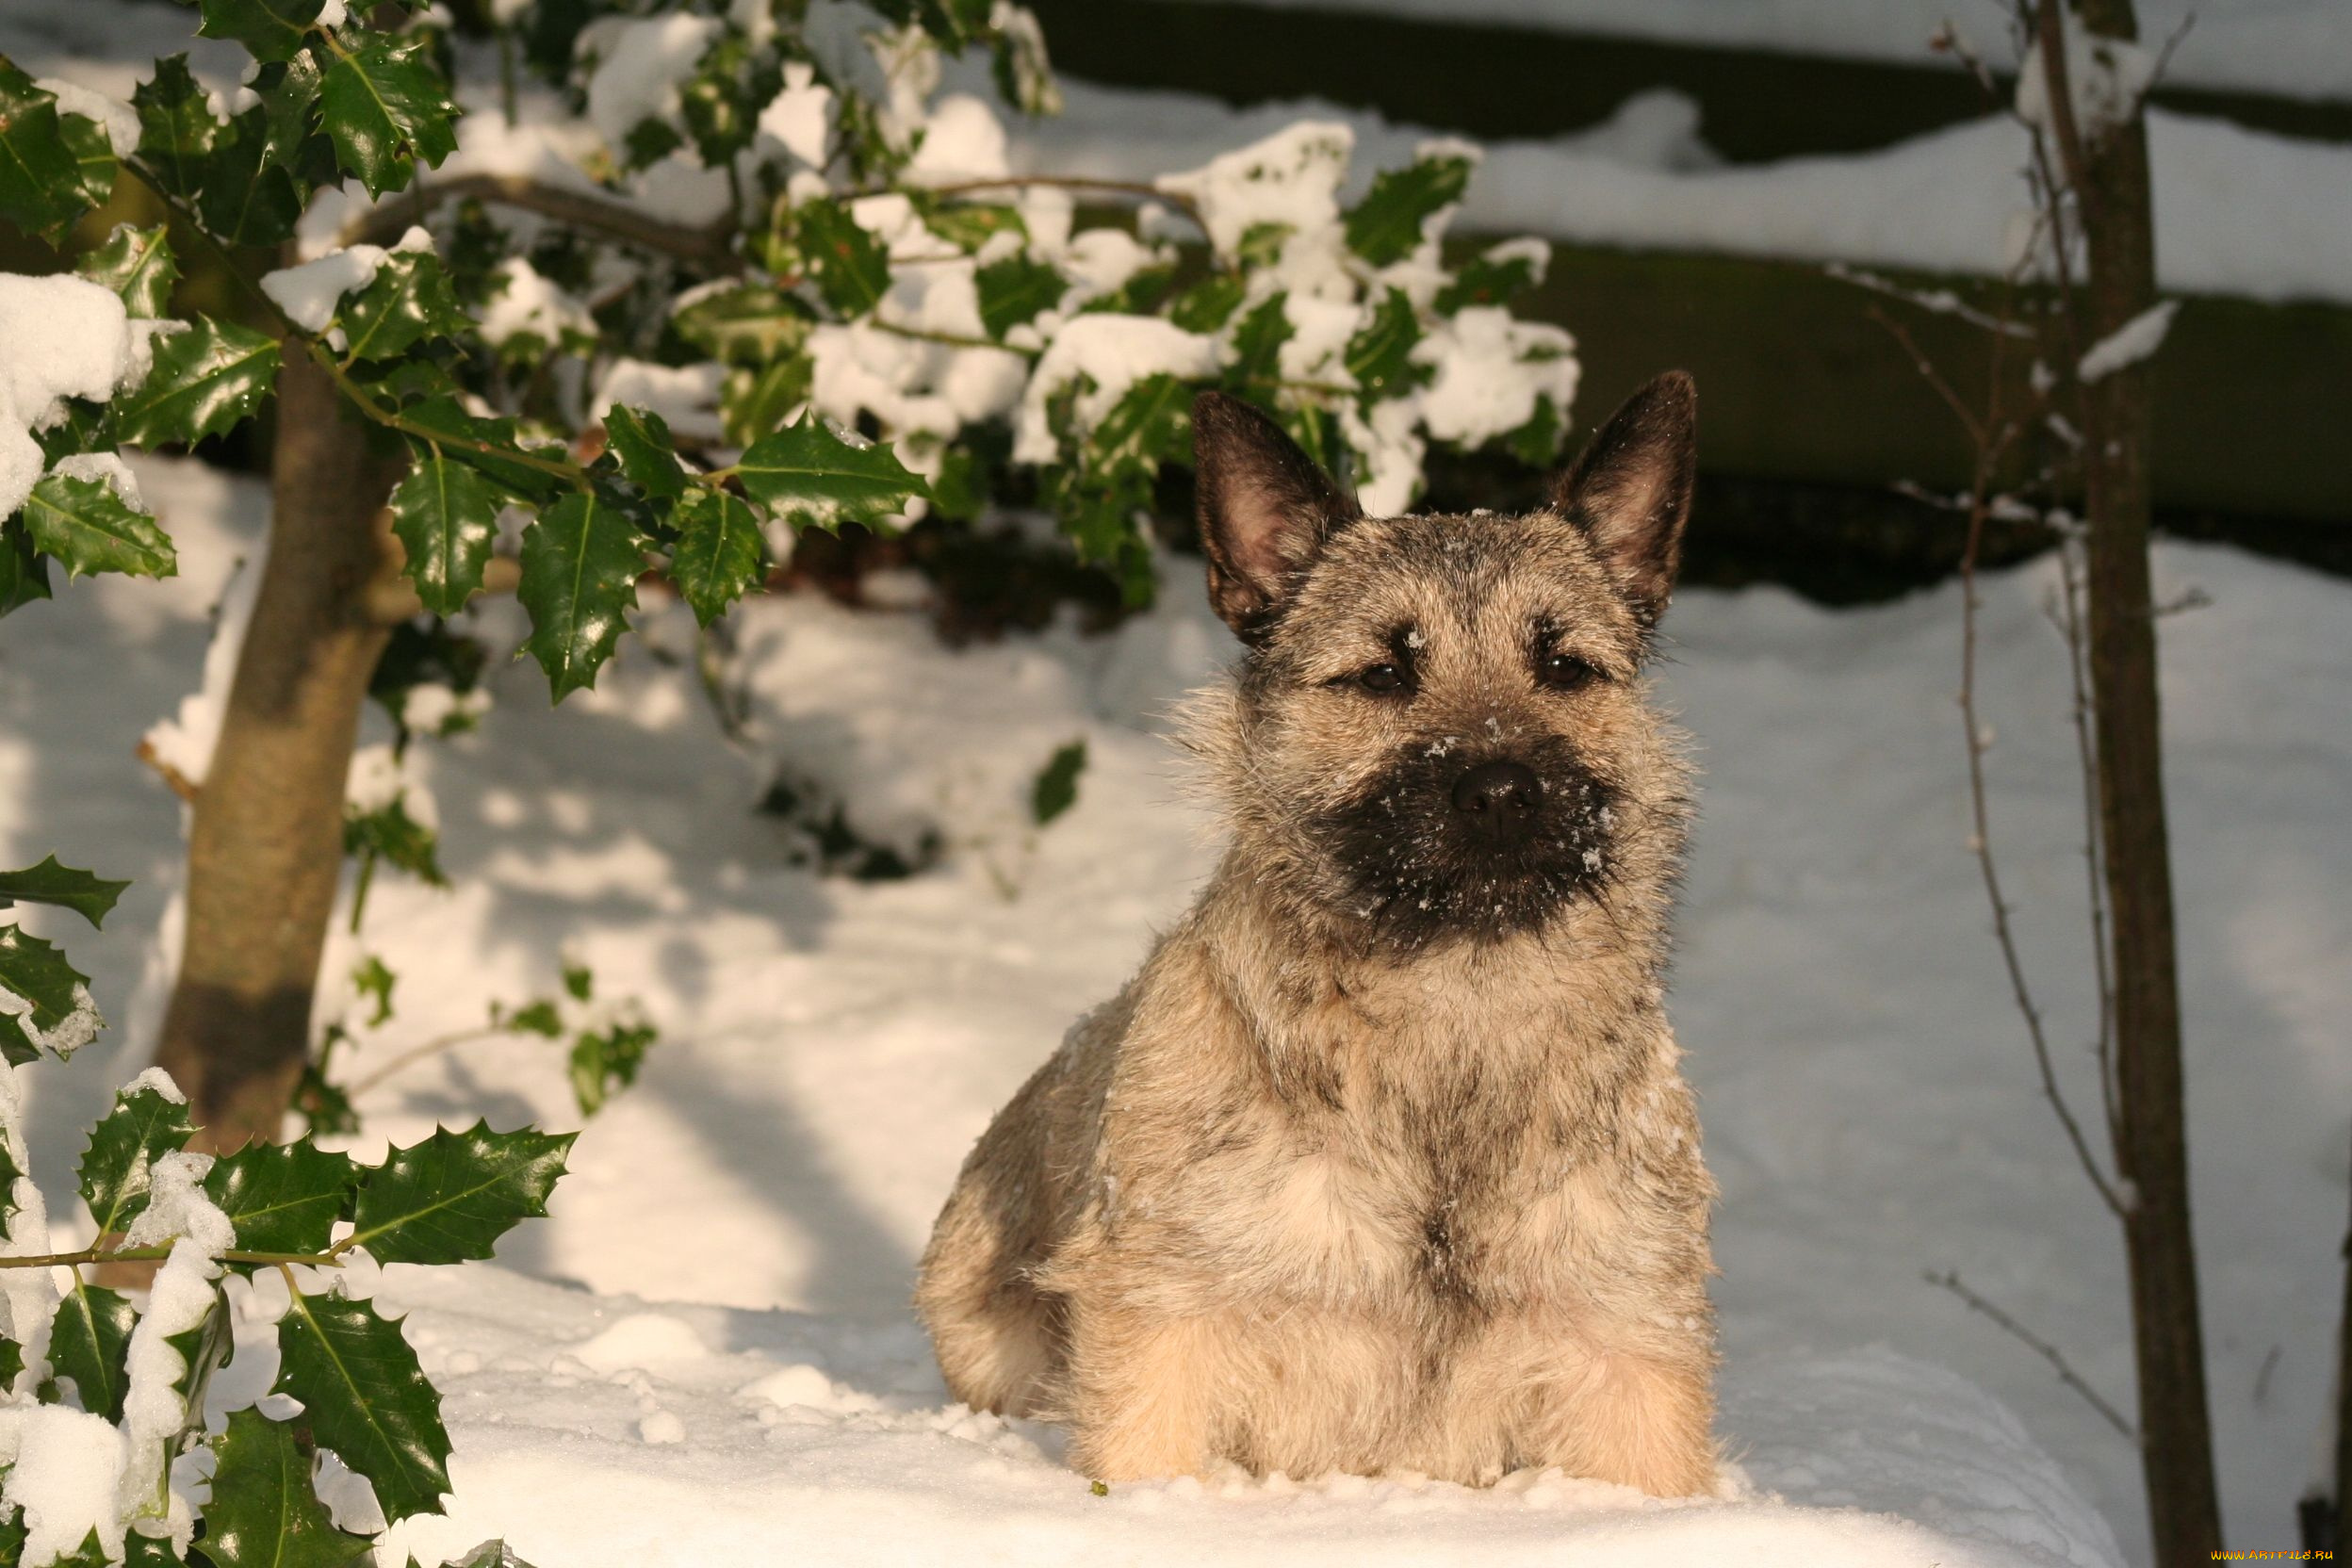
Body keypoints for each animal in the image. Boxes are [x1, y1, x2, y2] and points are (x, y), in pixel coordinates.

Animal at [912, 373, 1712, 1504]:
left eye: (1563, 664)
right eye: (1381, 673)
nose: (1502, 791)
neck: (1449, 1018)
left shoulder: (1628, 1343)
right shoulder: (1170, 1321)